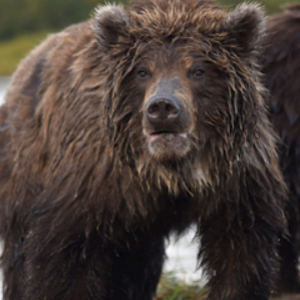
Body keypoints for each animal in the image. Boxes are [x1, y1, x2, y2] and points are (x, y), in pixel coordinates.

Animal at [0, 0, 286, 300]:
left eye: (198, 70)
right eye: (142, 71)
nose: (162, 107)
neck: (168, 171)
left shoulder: (237, 180)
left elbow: (240, 255)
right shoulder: (93, 178)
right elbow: (65, 261)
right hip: (24, 170)